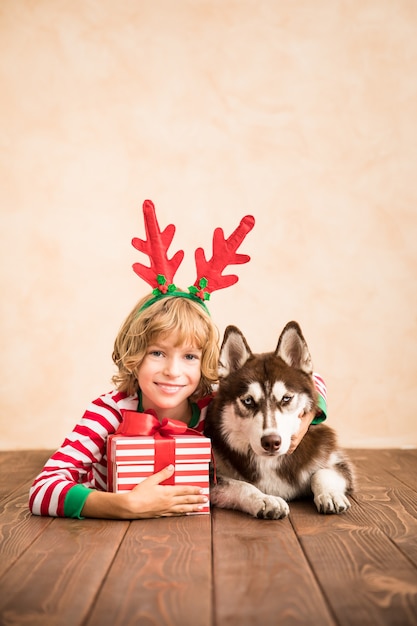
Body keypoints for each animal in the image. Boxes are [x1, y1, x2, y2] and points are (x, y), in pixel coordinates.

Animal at [203, 322, 352, 516]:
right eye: (248, 401)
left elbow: (322, 473)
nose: (271, 442)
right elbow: (240, 485)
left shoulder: (338, 462)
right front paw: (265, 499)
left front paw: (330, 494)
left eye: (286, 398)